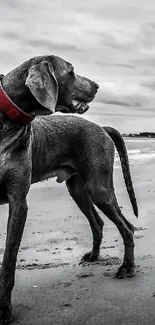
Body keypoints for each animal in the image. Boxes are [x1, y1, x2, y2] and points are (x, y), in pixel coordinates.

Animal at [0, 54, 137, 322]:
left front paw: (4, 309)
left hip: (98, 186)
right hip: (78, 188)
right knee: (98, 222)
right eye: (71, 71)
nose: (97, 86)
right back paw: (94, 256)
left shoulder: (18, 203)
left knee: (127, 227)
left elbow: (8, 262)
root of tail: (102, 127)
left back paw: (126, 268)